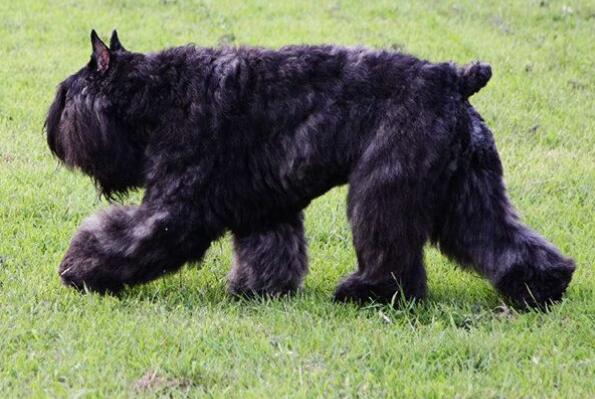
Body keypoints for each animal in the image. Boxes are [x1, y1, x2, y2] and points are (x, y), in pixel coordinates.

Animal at [46, 31, 576, 310]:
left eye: (67, 95)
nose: (51, 132)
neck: (159, 93)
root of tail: (453, 78)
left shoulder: (176, 203)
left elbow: (127, 237)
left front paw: (81, 268)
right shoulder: (263, 205)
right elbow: (269, 249)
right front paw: (258, 291)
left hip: (383, 190)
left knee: (391, 250)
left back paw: (368, 292)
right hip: (468, 188)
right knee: (500, 237)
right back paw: (543, 286)